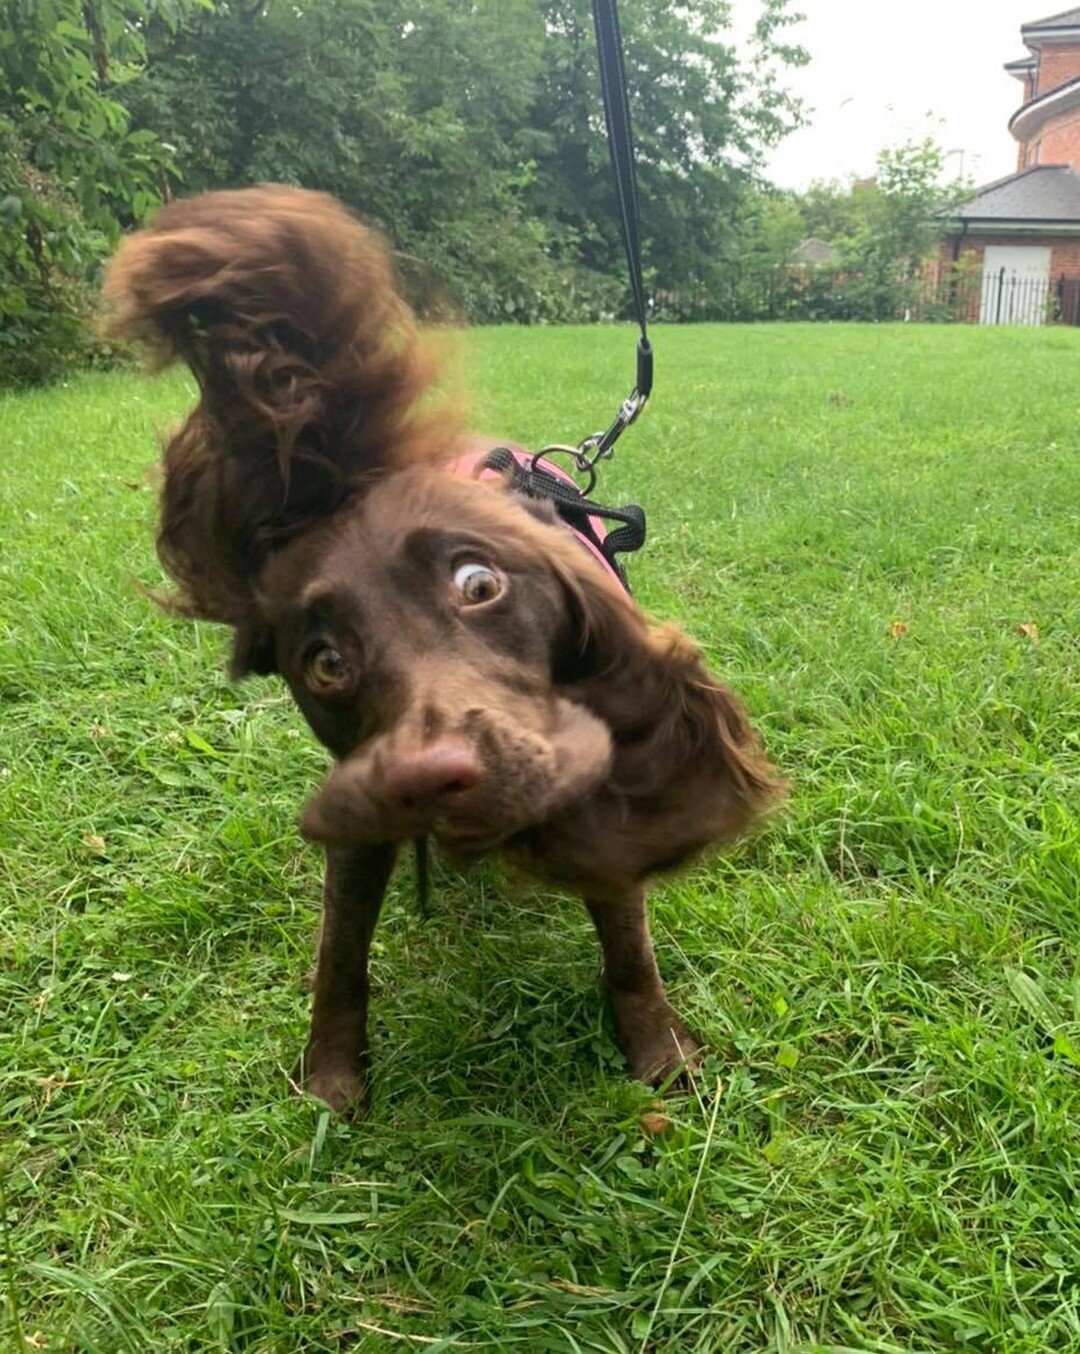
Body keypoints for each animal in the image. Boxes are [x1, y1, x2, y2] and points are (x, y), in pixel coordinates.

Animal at [105, 185, 784, 1115]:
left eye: (480, 584)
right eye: (324, 661)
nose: (427, 776)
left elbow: (628, 946)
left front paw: (658, 1053)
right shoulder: (358, 823)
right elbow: (339, 959)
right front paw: (331, 1079)